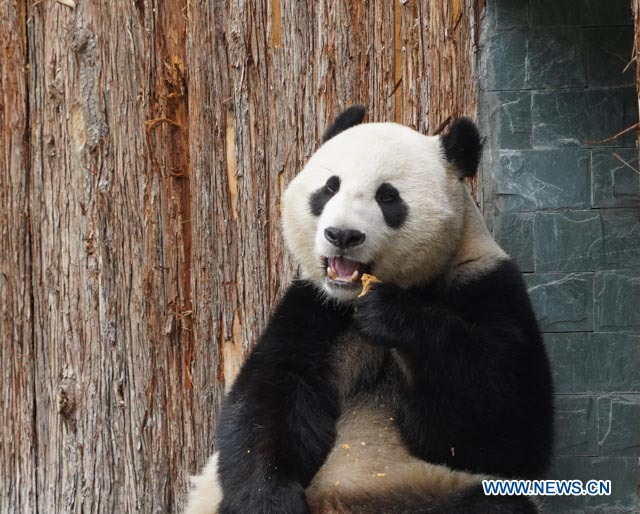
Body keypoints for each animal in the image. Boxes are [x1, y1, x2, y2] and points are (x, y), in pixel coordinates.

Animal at [185, 106, 554, 514]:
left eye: (388, 197)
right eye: (330, 187)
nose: (342, 235)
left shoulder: (487, 283)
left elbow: (505, 429)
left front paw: (390, 315)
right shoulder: (313, 308)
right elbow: (269, 400)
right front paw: (268, 501)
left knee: (491, 501)